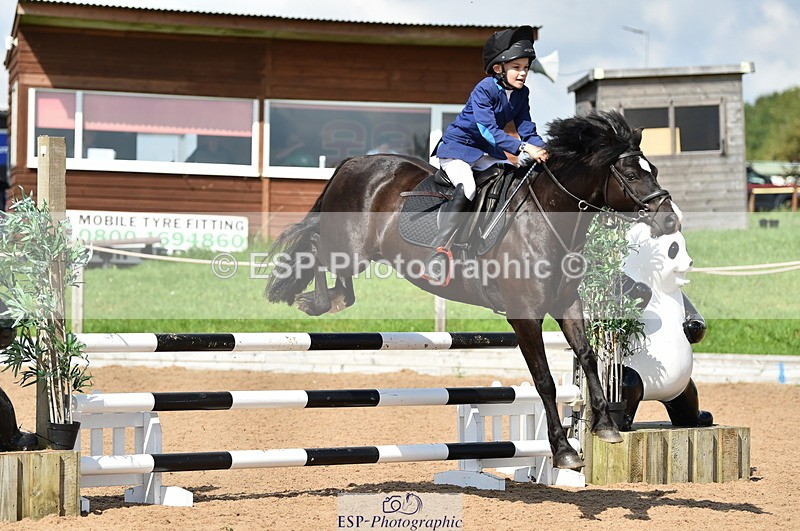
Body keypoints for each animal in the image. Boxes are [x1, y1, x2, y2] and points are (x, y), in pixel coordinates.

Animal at [265, 110, 678, 470]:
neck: (548, 218)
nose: (671, 221)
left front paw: (605, 426)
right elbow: (543, 380)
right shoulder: (524, 317)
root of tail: (353, 162)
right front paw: (564, 451)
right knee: (315, 246)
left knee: (334, 271)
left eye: (655, 171)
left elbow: (588, 356)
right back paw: (316, 301)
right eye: (631, 173)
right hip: (350, 250)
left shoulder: (567, 304)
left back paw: (327, 299)